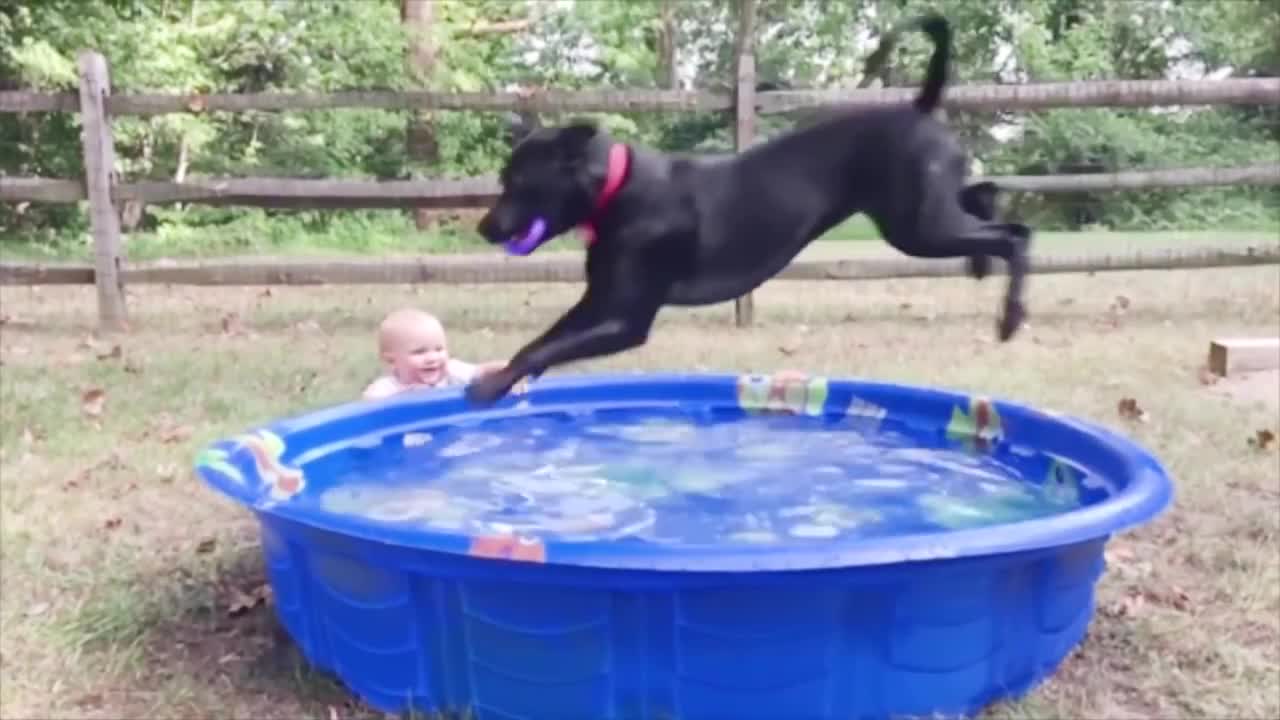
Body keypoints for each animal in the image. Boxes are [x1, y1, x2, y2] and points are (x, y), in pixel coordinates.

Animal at [468, 12, 1029, 404]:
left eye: (520, 183)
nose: (484, 227)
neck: (616, 188)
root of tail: (921, 106)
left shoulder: (626, 319)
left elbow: (553, 343)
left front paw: (490, 386)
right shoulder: (598, 301)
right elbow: (544, 340)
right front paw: (507, 376)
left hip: (916, 227)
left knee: (1016, 234)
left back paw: (1010, 317)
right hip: (922, 213)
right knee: (984, 198)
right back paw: (982, 263)